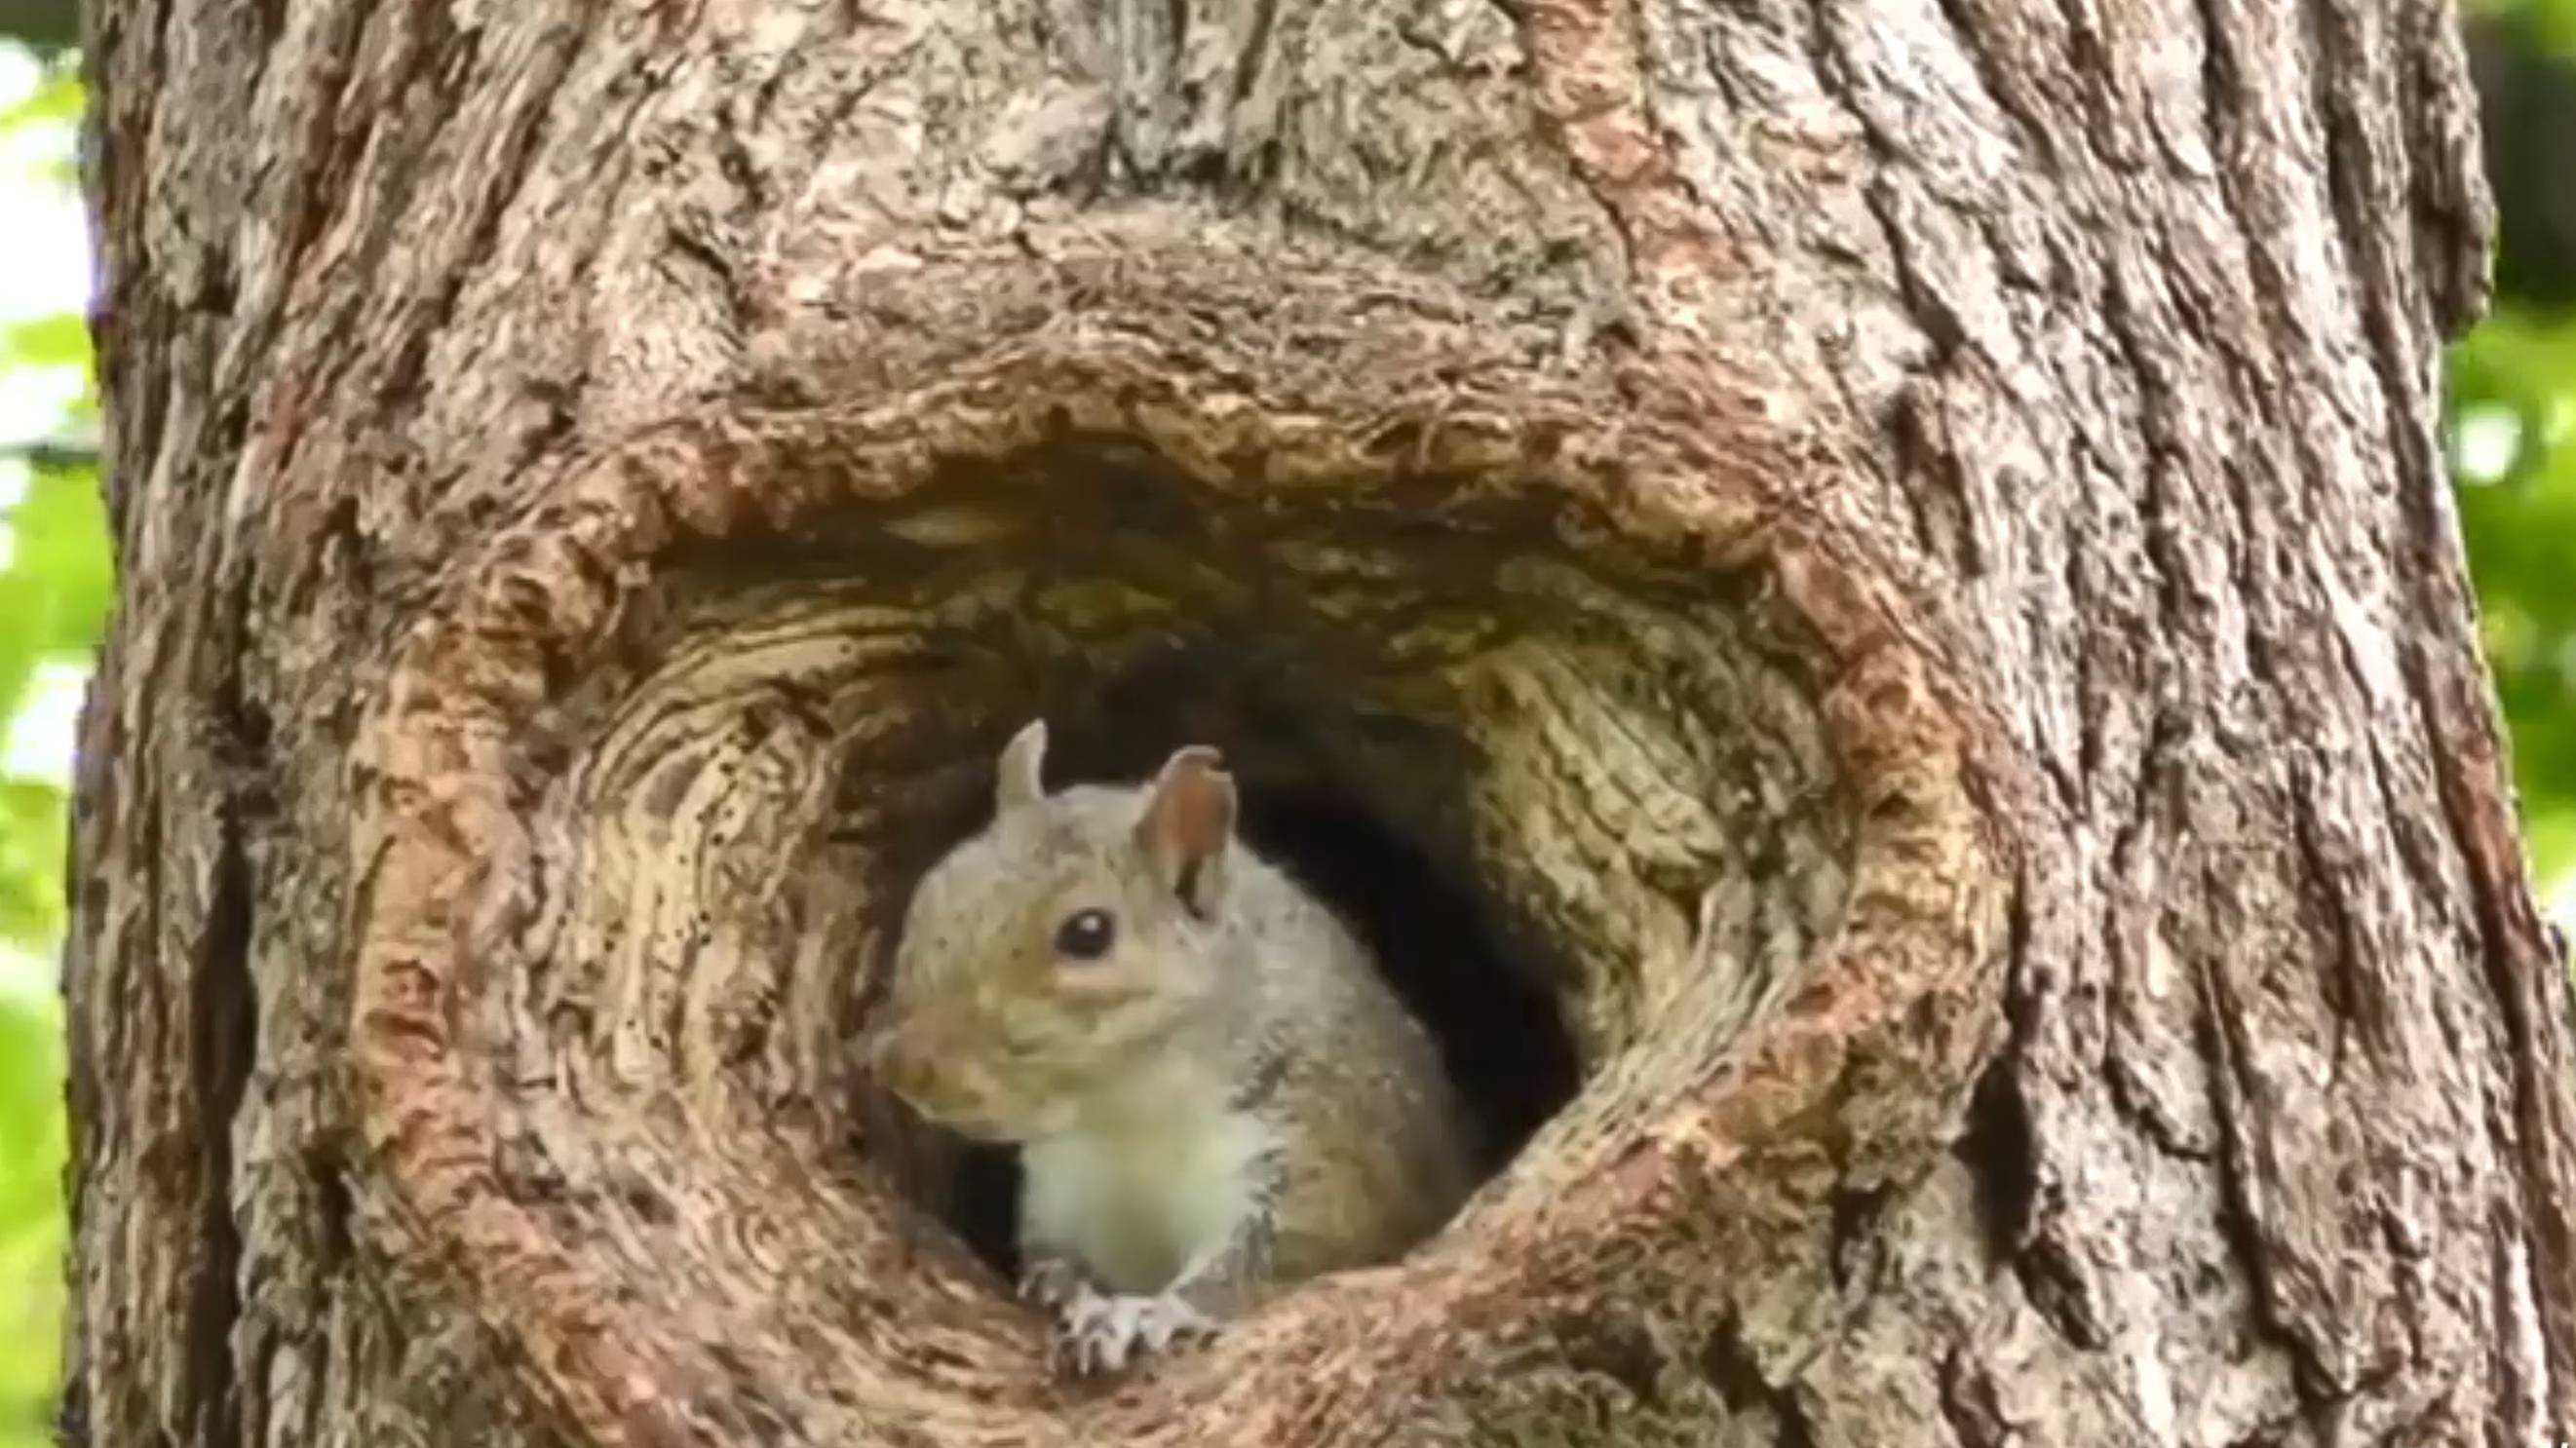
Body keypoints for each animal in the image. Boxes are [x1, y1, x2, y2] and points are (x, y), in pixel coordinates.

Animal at [870, 716, 1473, 1370]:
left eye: (1088, 933)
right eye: (935, 883)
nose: (905, 1068)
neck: (1131, 1114)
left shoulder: (1325, 1152)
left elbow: (1270, 1262)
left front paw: (1145, 1314)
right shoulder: (1063, 1183)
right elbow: (1055, 1248)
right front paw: (1065, 1286)